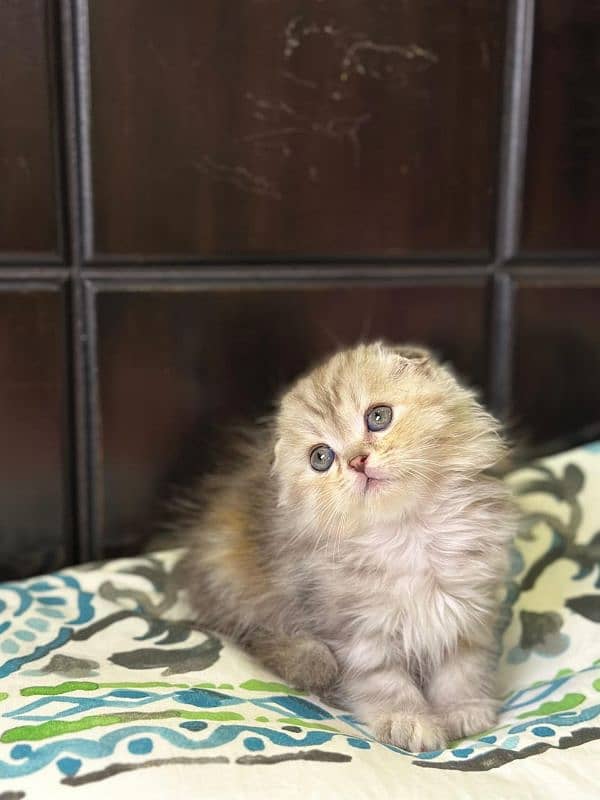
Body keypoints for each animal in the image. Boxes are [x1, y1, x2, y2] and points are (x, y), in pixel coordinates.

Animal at [178, 342, 516, 752]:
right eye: (321, 458)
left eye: (378, 417)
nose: (357, 461)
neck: (409, 535)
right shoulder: (354, 630)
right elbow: (385, 682)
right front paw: (409, 721)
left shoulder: (467, 610)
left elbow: (461, 668)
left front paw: (463, 710)